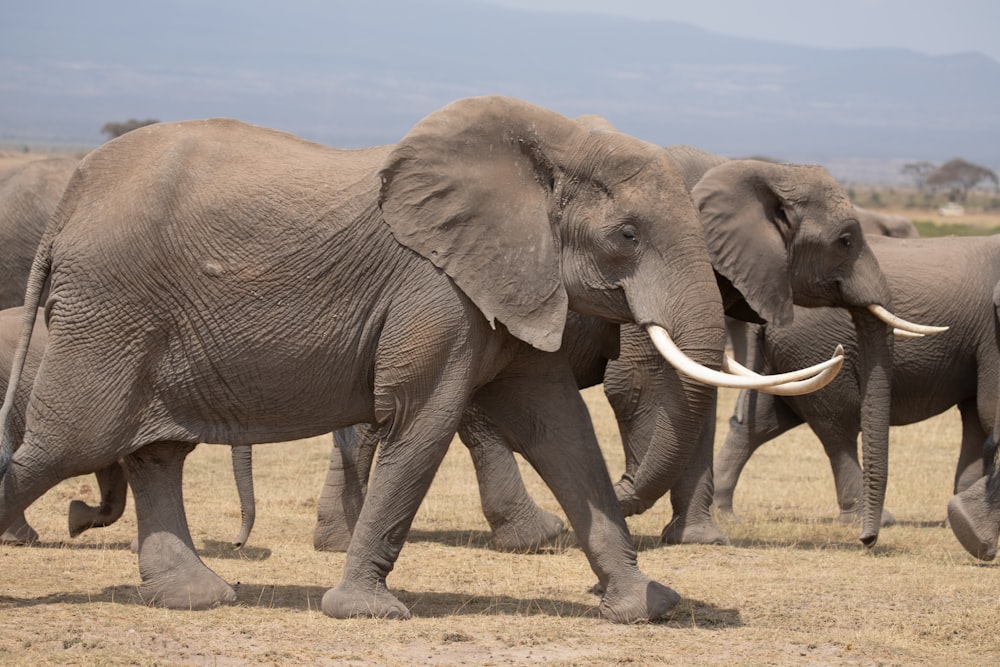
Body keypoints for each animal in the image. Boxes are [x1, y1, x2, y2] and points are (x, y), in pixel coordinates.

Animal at [0, 96, 828, 624]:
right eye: (626, 234)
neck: (548, 144)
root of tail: (71, 199)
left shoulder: (507, 283)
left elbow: (561, 432)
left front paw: (646, 603)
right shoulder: (437, 290)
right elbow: (423, 420)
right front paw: (365, 611)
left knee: (153, 451)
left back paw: (197, 597)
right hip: (109, 311)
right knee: (69, 442)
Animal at [308, 144, 940, 556]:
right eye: (847, 241)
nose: (867, 540)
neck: (751, 165)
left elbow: (699, 390)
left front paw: (698, 539)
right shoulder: (645, 273)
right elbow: (638, 385)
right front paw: (637, 518)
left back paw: (335, 542)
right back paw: (538, 537)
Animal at [720, 235, 1000, 532]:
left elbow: (976, 415)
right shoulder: (991, 334)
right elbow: (988, 409)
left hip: (780, 358)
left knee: (760, 423)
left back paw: (723, 513)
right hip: (814, 347)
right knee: (838, 426)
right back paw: (871, 519)